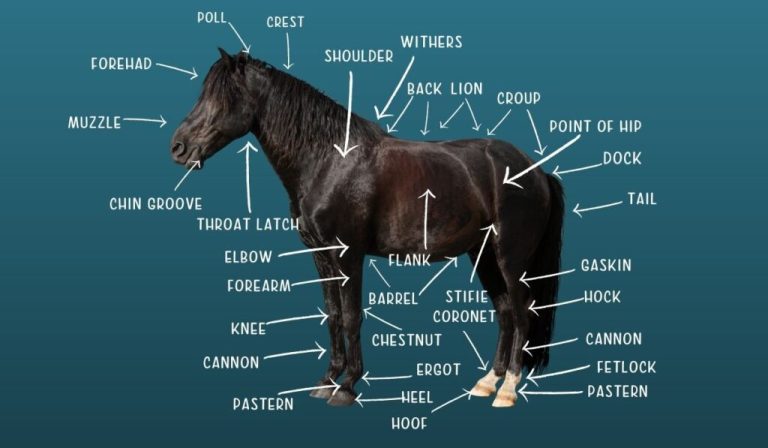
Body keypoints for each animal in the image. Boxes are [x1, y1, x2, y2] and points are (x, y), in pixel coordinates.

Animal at [170, 49, 565, 408]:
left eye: (223, 98)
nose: (178, 147)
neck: (330, 160)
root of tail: (537, 170)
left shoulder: (350, 255)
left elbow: (351, 317)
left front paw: (347, 386)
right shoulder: (321, 256)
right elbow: (332, 315)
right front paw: (327, 380)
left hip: (510, 258)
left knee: (522, 312)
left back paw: (508, 389)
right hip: (482, 256)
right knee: (505, 312)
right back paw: (486, 383)